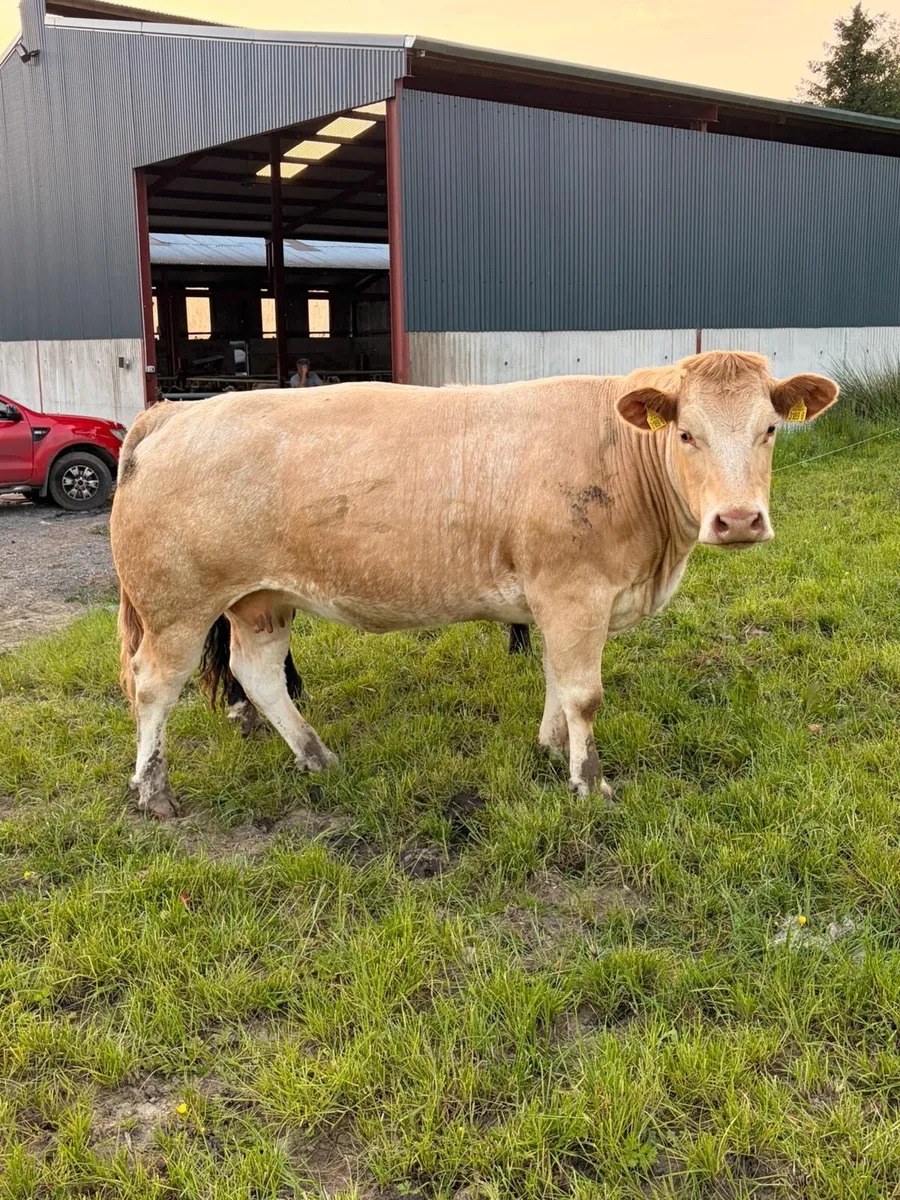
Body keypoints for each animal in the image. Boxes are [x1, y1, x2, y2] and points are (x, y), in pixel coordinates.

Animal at [111, 352, 838, 819]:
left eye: (770, 429)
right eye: (687, 433)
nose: (738, 519)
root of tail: (172, 414)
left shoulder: (554, 597)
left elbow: (555, 679)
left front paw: (550, 748)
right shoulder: (576, 591)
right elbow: (584, 693)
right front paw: (589, 783)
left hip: (259, 599)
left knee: (257, 673)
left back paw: (317, 756)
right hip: (178, 605)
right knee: (154, 685)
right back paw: (154, 793)